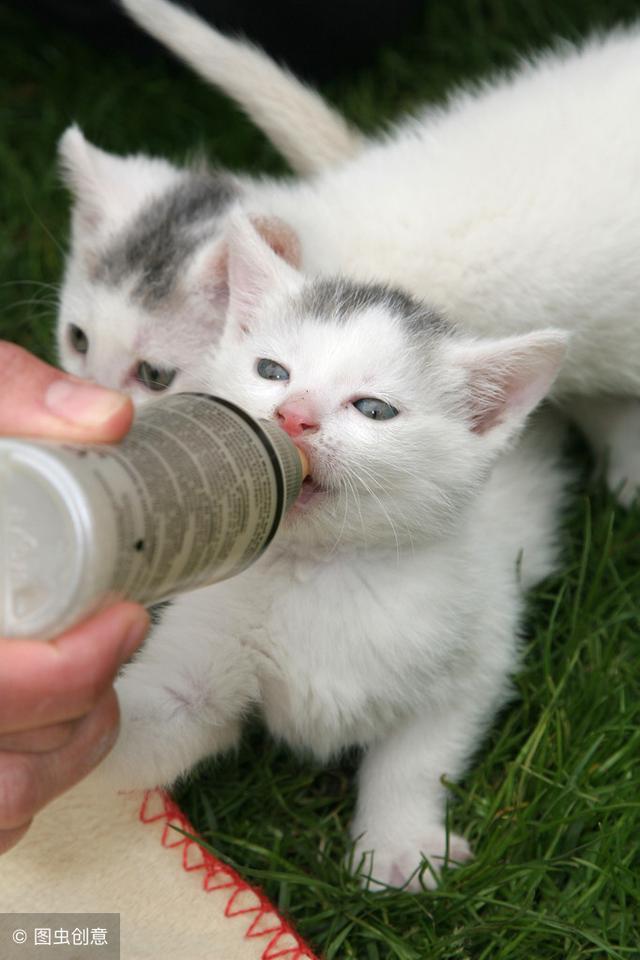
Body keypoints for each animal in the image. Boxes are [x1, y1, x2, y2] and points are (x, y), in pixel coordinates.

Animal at [91, 218, 568, 892]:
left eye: (372, 409)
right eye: (271, 370)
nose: (292, 416)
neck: (324, 569)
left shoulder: (478, 646)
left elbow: (418, 757)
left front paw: (398, 846)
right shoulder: (202, 651)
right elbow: (157, 715)